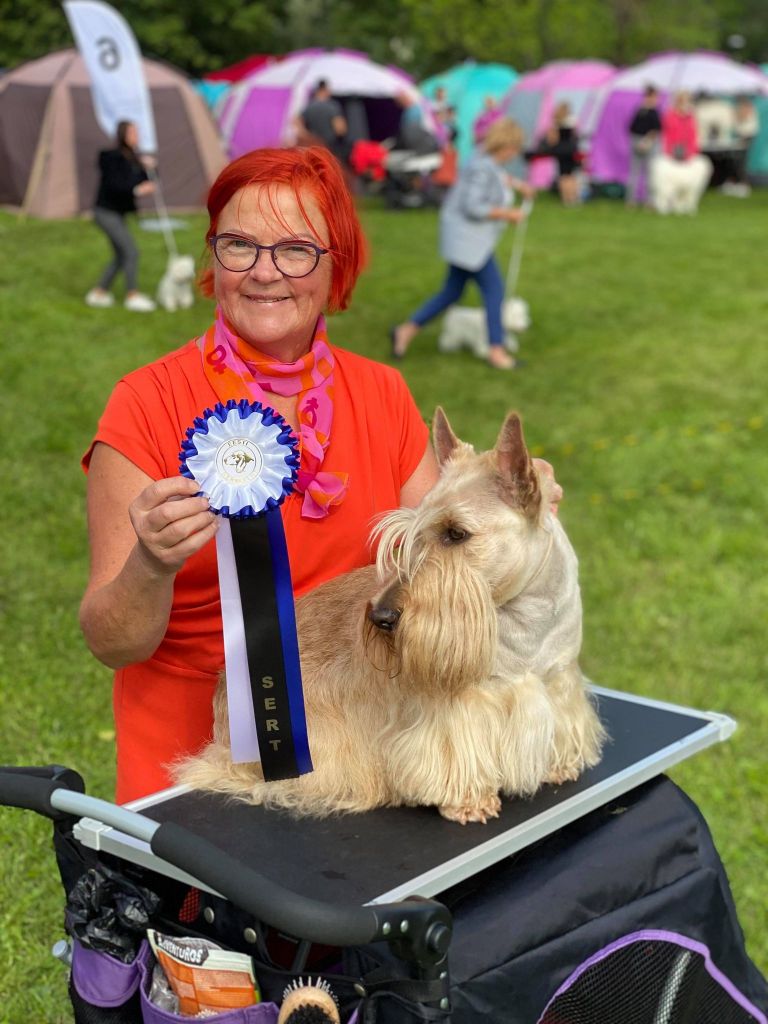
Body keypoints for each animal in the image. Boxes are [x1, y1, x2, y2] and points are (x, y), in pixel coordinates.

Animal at [177, 407, 606, 823]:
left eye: (456, 533)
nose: (381, 617)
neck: (521, 620)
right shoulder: (453, 705)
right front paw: (468, 800)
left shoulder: (557, 679)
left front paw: (560, 765)